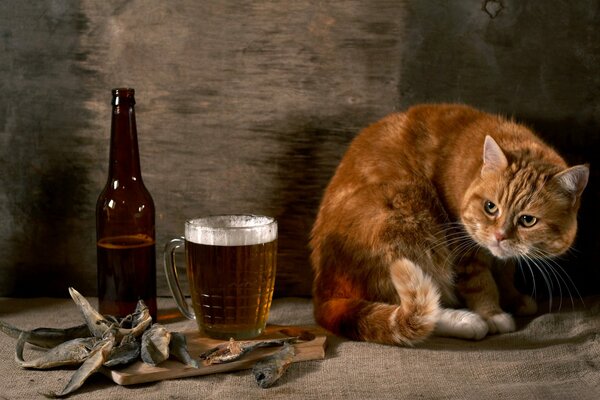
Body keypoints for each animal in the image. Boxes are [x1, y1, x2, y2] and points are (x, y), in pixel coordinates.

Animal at [312, 103, 588, 344]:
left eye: (527, 220)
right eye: (490, 207)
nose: (499, 236)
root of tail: (324, 287)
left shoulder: (502, 257)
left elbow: (505, 271)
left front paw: (514, 298)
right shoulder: (464, 246)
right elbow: (480, 282)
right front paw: (493, 313)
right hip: (408, 211)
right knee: (417, 308)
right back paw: (467, 322)